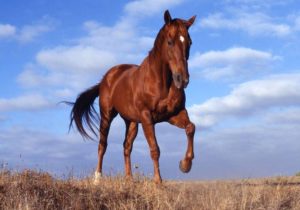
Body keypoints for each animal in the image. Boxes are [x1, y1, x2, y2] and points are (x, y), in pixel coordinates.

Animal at [67, 10, 196, 184]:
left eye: (189, 42)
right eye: (170, 42)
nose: (182, 79)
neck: (161, 81)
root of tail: (105, 79)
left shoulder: (174, 114)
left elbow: (191, 128)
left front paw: (185, 164)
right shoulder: (147, 117)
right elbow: (155, 149)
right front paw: (158, 182)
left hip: (132, 122)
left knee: (126, 146)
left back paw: (129, 179)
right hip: (107, 116)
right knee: (102, 145)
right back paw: (97, 178)